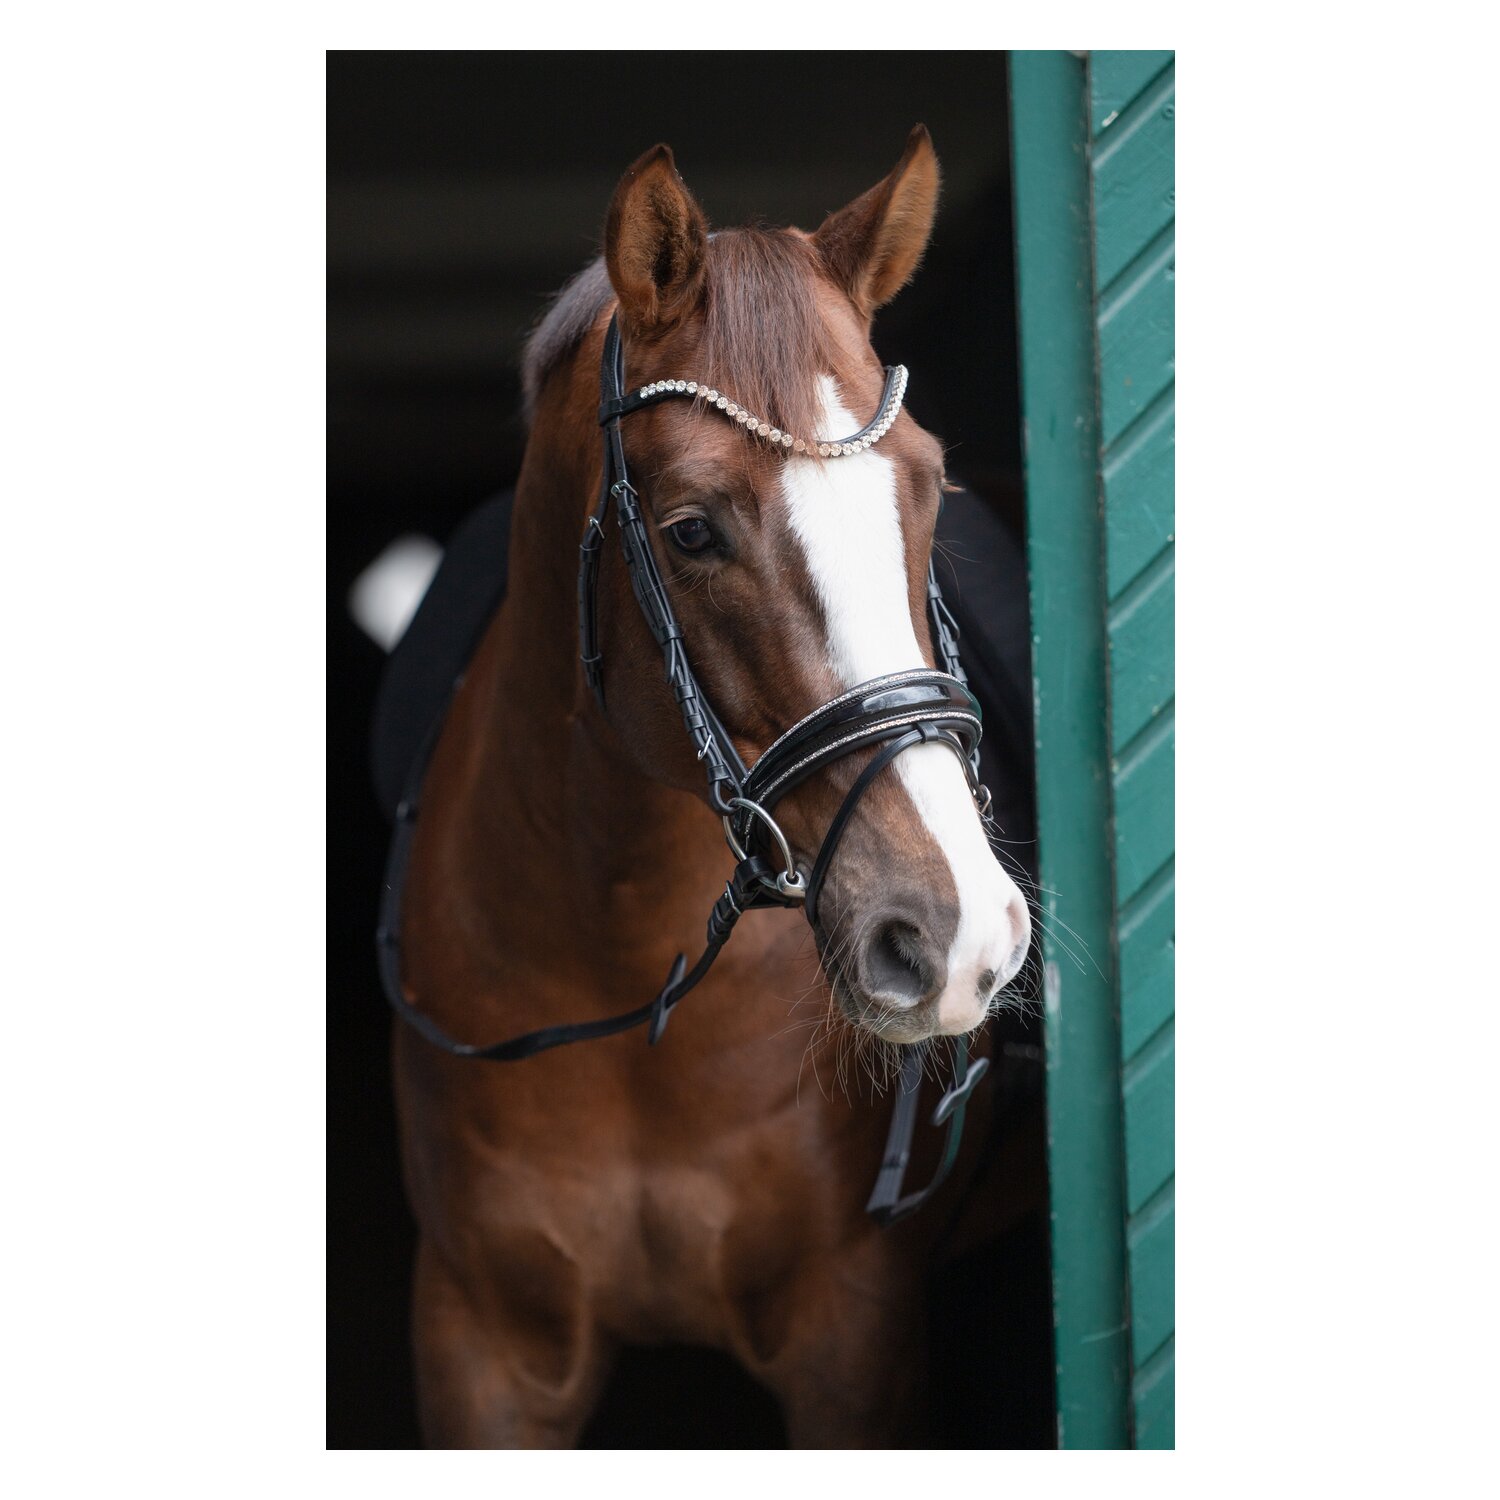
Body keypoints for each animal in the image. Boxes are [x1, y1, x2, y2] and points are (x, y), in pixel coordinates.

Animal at [388, 125, 1032, 1448]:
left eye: (926, 485)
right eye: (690, 531)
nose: (955, 934)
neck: (625, 972)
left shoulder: (853, 1341)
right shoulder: (483, 1349)